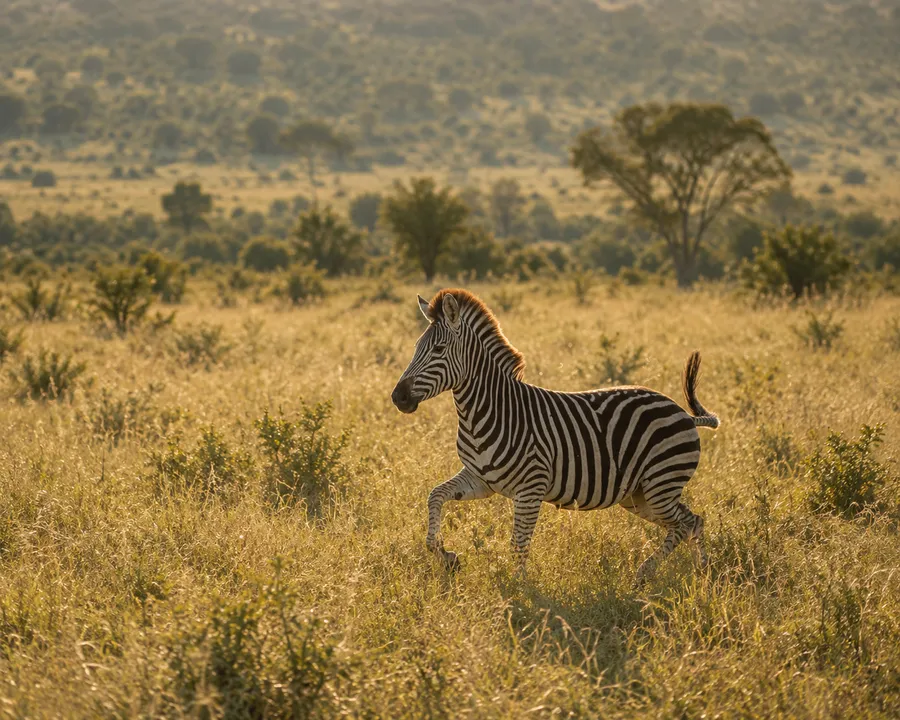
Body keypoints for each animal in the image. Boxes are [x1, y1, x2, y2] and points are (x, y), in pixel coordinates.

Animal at [390, 288, 720, 585]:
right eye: (416, 347)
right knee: (692, 521)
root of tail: (684, 413)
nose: (398, 397)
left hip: (659, 485)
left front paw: (520, 593)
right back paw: (699, 574)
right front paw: (447, 556)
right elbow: (435, 496)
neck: (489, 411)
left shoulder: (530, 489)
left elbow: (518, 545)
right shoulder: (480, 479)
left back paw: (660, 574)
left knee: (687, 523)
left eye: (438, 350)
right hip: (639, 495)